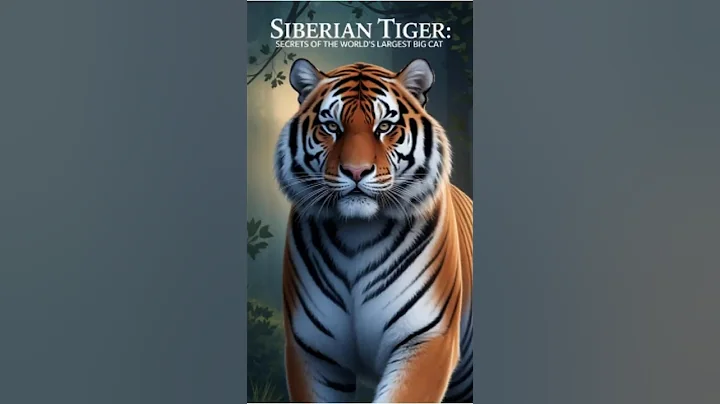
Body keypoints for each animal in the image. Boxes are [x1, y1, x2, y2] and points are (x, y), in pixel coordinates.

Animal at [273, 58, 473, 403]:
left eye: (384, 127)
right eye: (331, 127)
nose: (356, 171)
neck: (357, 232)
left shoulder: (426, 338)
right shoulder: (312, 351)